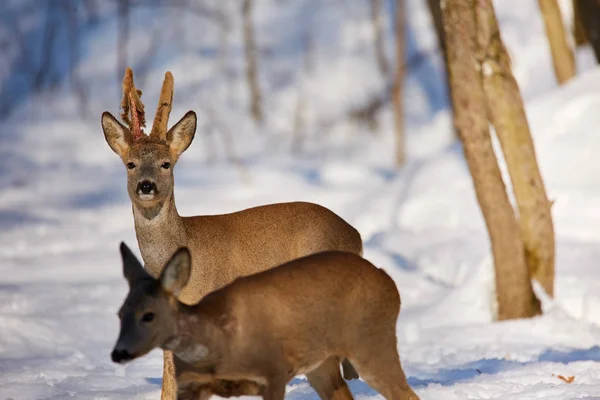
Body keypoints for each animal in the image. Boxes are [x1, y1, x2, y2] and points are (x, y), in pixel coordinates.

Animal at [113, 242, 422, 400]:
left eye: (148, 315)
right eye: (119, 313)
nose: (118, 353)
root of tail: (387, 279)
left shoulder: (273, 374)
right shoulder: (191, 386)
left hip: (371, 341)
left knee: (406, 394)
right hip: (321, 364)